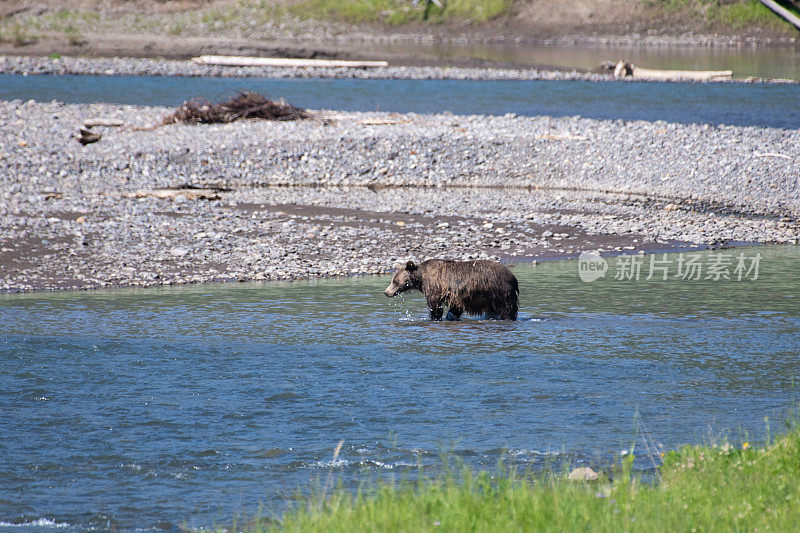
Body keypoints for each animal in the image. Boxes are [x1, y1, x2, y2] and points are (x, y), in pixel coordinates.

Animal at [382, 258, 520, 320]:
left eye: (395, 282)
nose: (386, 292)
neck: (421, 278)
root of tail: (513, 277)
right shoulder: (456, 295)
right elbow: (456, 308)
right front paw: (451, 316)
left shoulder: (435, 288)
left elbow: (435, 306)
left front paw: (434, 317)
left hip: (500, 291)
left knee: (507, 308)